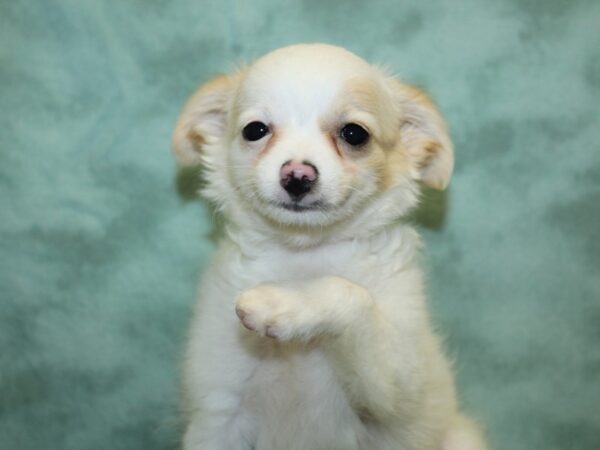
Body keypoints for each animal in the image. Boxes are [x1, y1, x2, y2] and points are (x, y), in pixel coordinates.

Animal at [171, 43, 490, 450]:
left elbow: (350, 293)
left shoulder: (397, 386)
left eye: (354, 134)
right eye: (255, 130)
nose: (297, 175)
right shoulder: (218, 413)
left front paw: (281, 304)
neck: (304, 254)